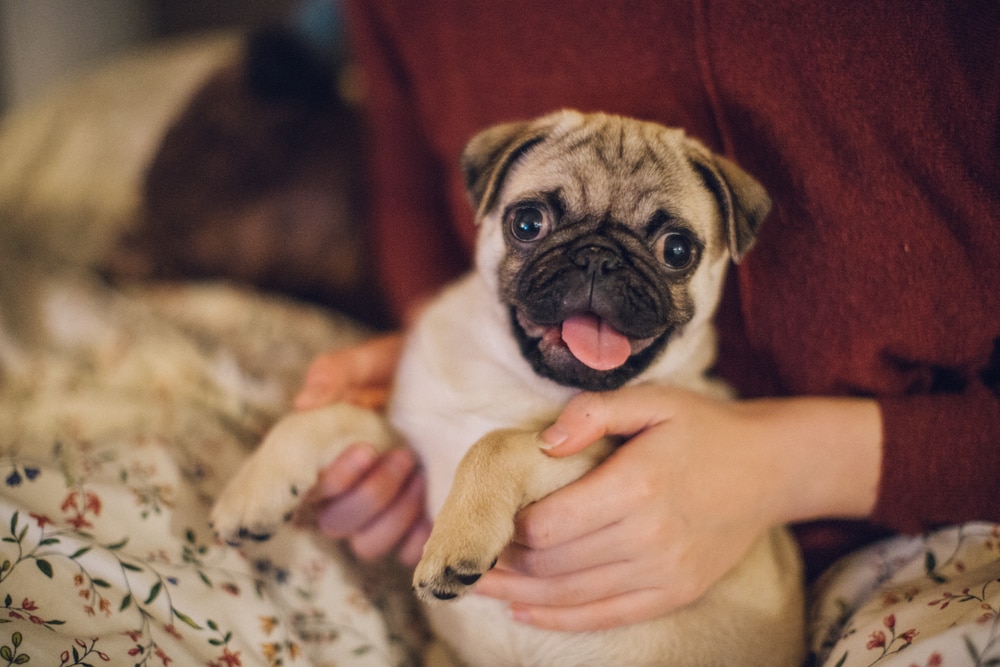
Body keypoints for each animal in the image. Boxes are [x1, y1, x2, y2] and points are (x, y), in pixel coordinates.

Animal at [211, 112, 804, 664]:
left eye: (677, 250)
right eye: (528, 222)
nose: (599, 256)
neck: (514, 376)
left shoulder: (600, 449)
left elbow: (494, 444)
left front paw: (455, 543)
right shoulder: (417, 442)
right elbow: (324, 416)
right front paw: (250, 494)